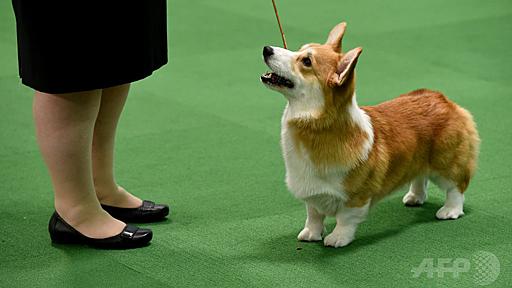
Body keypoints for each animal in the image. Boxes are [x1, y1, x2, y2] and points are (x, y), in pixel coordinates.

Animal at [260, 22, 480, 248]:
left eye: (306, 61)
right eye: (300, 49)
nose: (266, 49)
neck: (315, 126)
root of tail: (443, 99)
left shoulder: (356, 196)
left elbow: (345, 219)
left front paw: (337, 238)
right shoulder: (312, 193)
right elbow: (313, 215)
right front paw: (311, 234)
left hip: (446, 163)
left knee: (457, 187)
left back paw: (450, 210)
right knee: (420, 176)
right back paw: (415, 197)